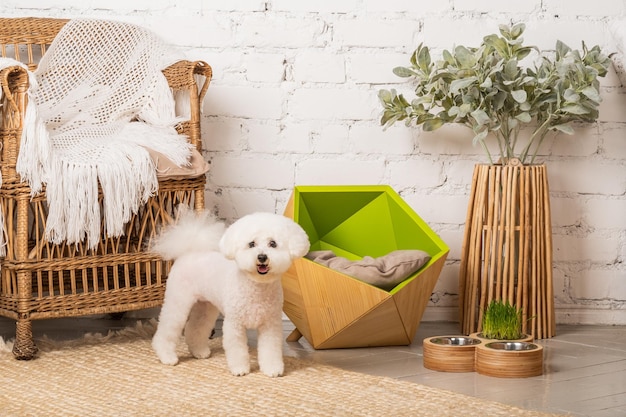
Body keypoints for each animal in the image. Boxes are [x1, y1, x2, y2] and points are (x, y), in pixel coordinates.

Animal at [149, 208, 310, 376]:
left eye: (273, 243)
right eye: (251, 244)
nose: (262, 257)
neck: (256, 286)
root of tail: (190, 252)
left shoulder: (270, 324)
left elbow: (270, 349)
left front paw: (272, 369)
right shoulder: (235, 323)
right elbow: (237, 349)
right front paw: (240, 369)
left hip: (205, 306)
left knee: (195, 328)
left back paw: (199, 351)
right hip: (178, 301)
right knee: (167, 329)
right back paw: (167, 356)